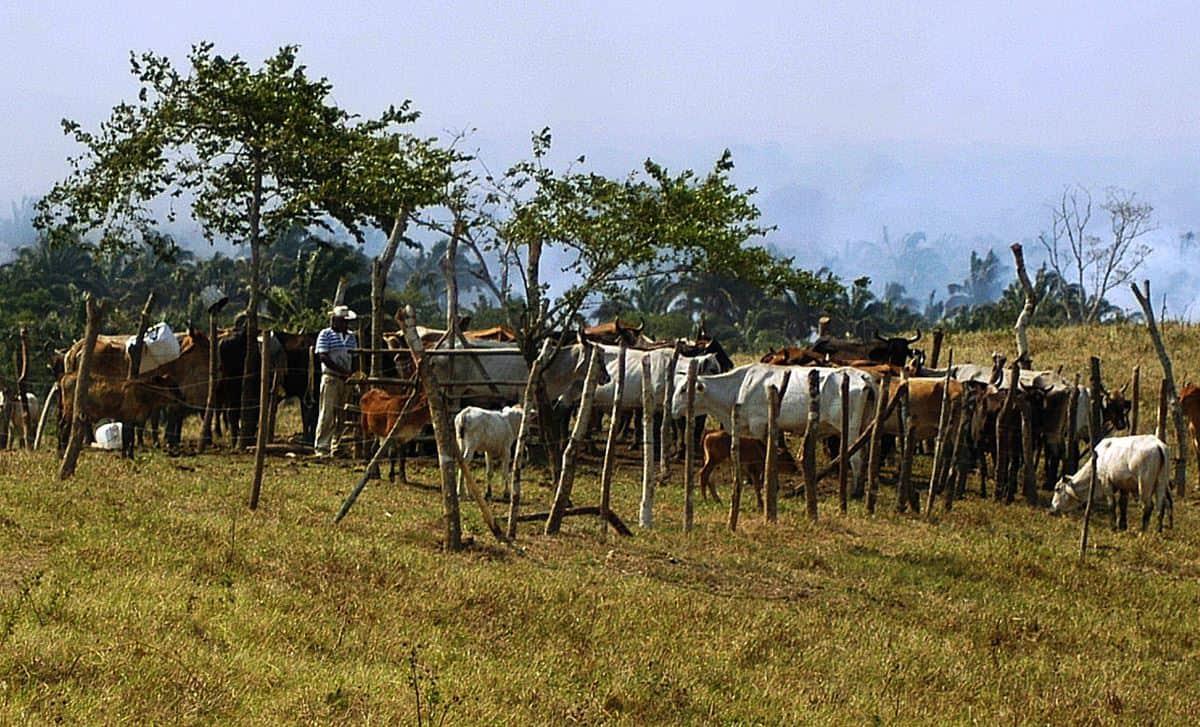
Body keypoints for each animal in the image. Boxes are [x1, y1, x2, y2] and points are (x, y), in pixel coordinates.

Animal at [672, 362, 878, 484]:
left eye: (684, 389)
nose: (672, 409)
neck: (739, 386)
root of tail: (865, 377)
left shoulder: (758, 425)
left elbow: (763, 454)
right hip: (864, 426)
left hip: (850, 429)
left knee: (856, 458)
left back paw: (854, 492)